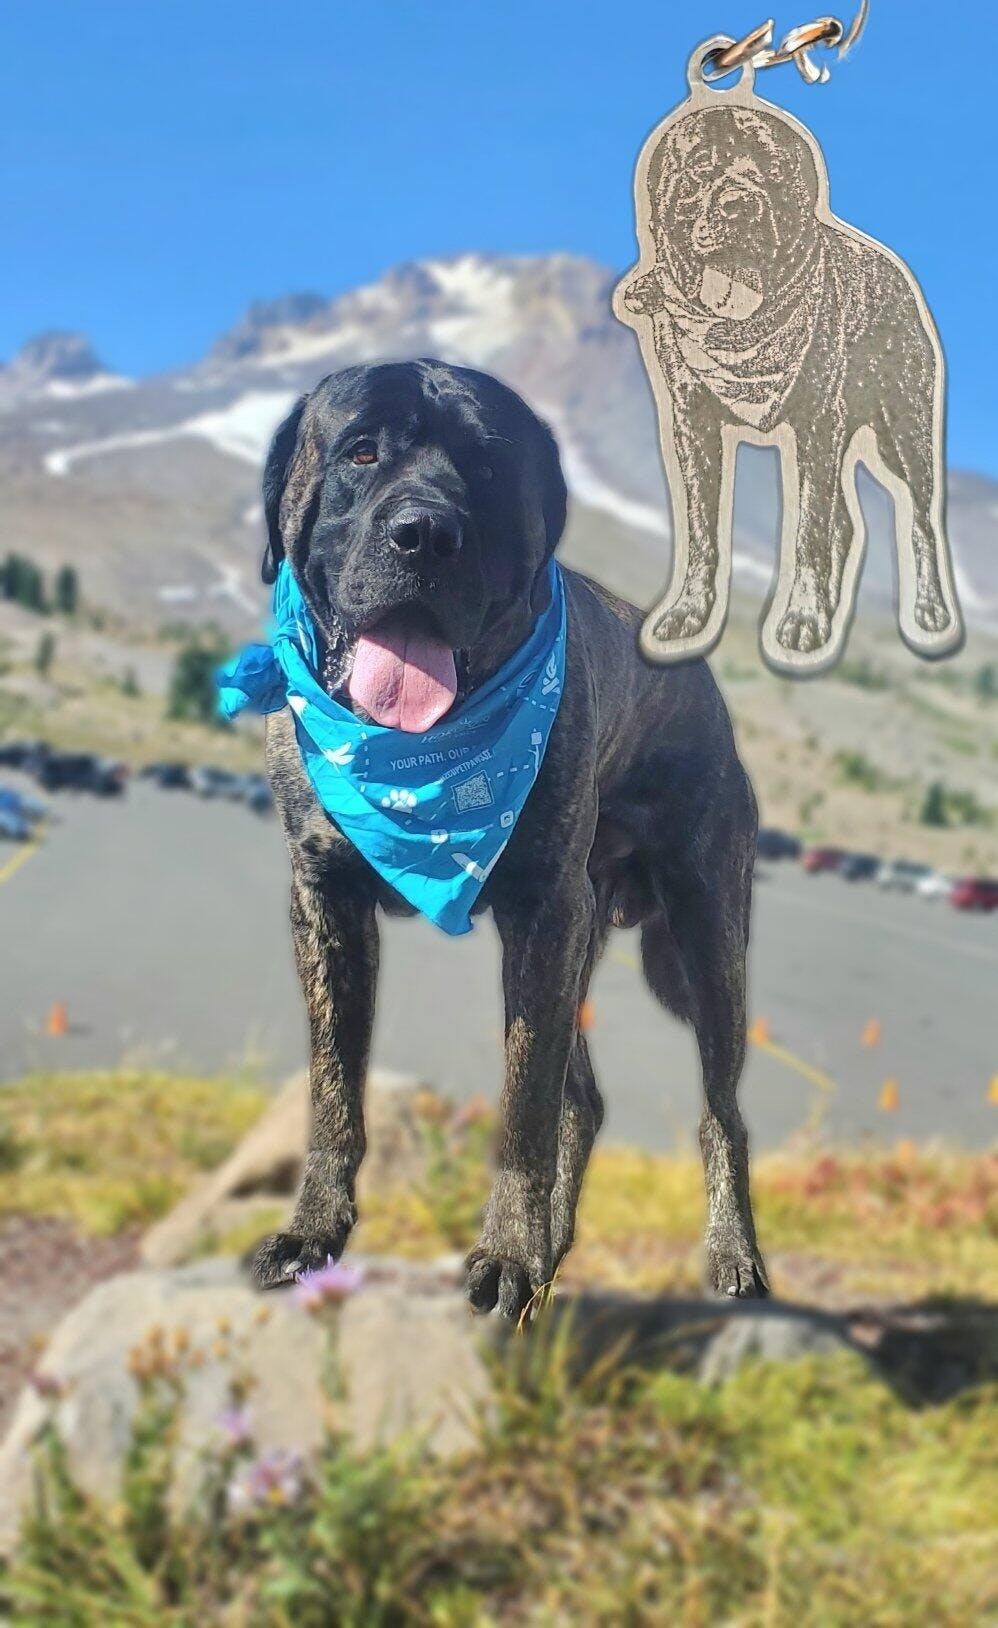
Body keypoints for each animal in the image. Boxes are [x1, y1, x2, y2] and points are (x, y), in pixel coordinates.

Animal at [252, 359, 766, 1316]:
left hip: (705, 941)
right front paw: (315, 1229)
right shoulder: (325, 901)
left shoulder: (542, 914)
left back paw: (732, 1253)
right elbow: (334, 1086)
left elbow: (523, 1102)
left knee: (721, 1112)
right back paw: (561, 1244)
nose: (424, 534)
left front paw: (508, 1254)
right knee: (586, 1100)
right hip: (588, 939)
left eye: (488, 469)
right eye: (361, 451)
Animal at [615, 92, 963, 673]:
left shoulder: (816, 425)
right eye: (701, 166)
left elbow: (808, 531)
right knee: (846, 522)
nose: (740, 205)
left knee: (919, 520)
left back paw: (929, 609)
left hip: (904, 433)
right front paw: (689, 612)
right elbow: (703, 530)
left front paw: (802, 618)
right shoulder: (692, 424)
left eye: (773, 170)